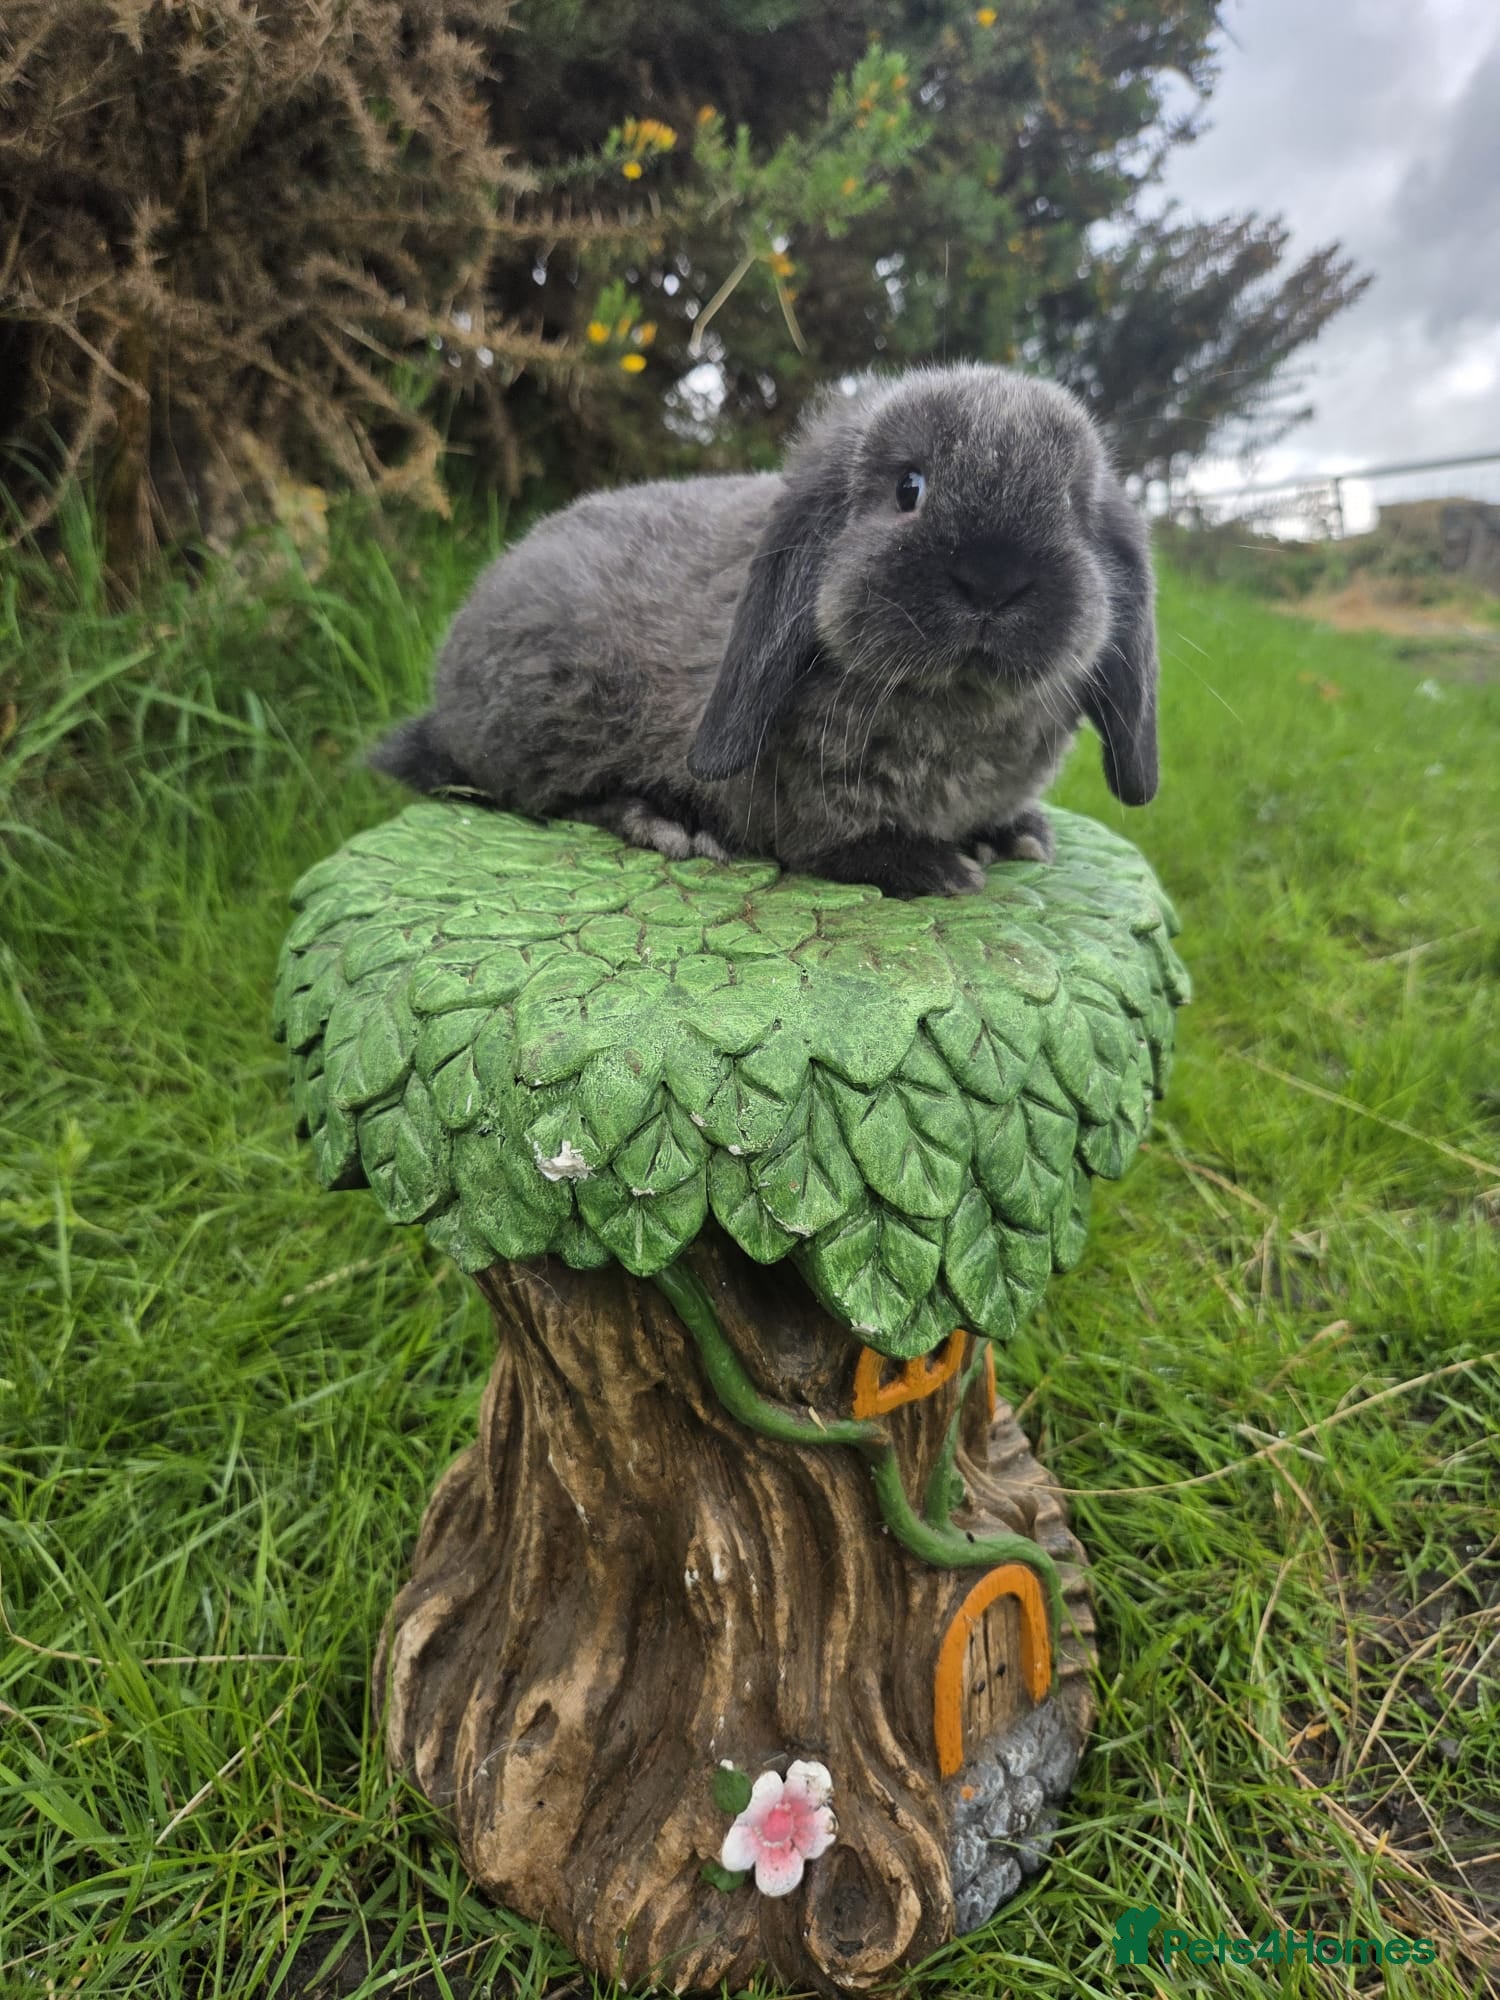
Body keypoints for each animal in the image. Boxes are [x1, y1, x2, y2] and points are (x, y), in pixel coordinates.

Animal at [371, 362, 1158, 899]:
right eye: (909, 488)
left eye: (1071, 506)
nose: (994, 578)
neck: (955, 705)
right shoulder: (806, 797)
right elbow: (827, 839)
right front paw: (932, 867)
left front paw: (1017, 833)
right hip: (560, 713)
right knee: (549, 796)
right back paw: (667, 821)